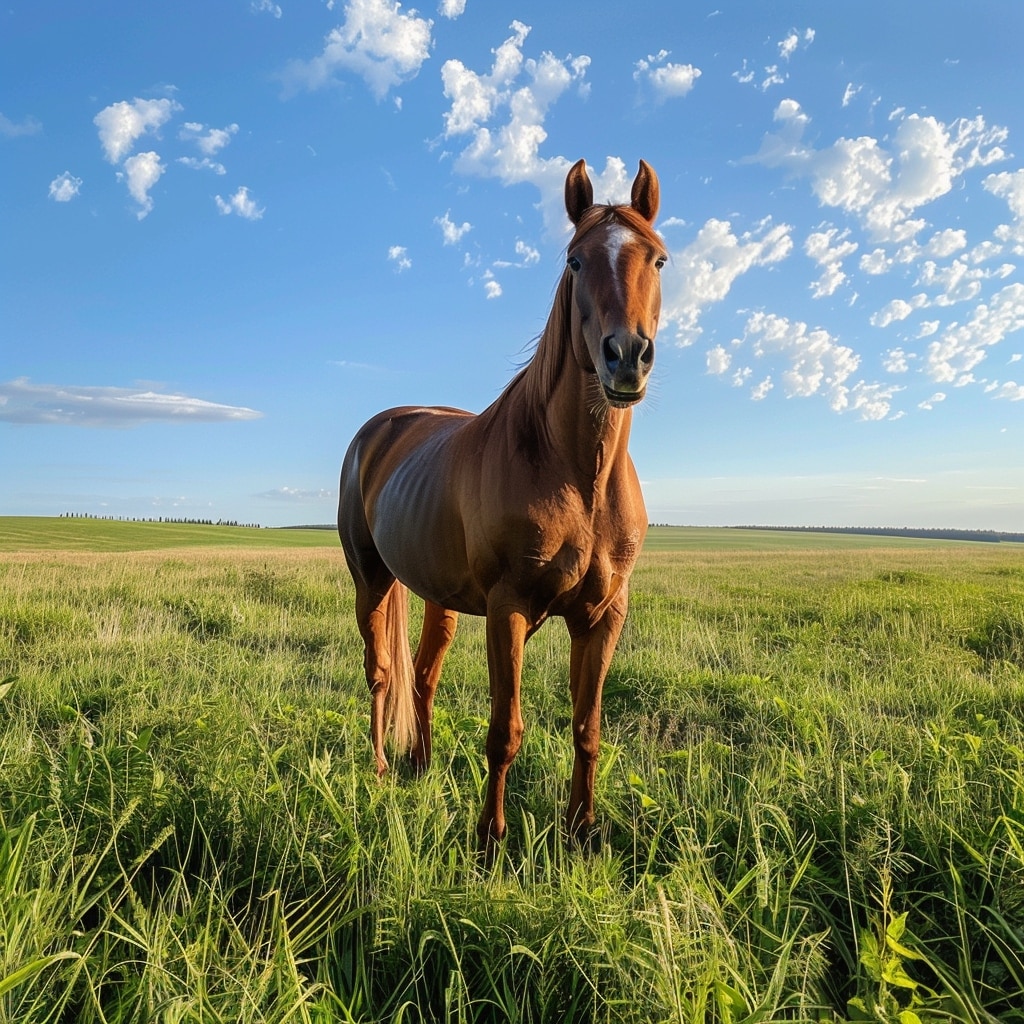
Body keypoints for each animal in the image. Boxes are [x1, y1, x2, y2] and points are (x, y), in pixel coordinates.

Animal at [339, 157, 667, 847]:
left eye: (657, 258)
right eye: (575, 261)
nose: (625, 357)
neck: (577, 475)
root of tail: (378, 429)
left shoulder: (603, 616)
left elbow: (587, 728)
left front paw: (581, 832)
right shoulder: (507, 609)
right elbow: (504, 732)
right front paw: (489, 839)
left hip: (436, 594)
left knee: (423, 676)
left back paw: (421, 763)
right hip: (370, 581)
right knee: (381, 672)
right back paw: (380, 768)